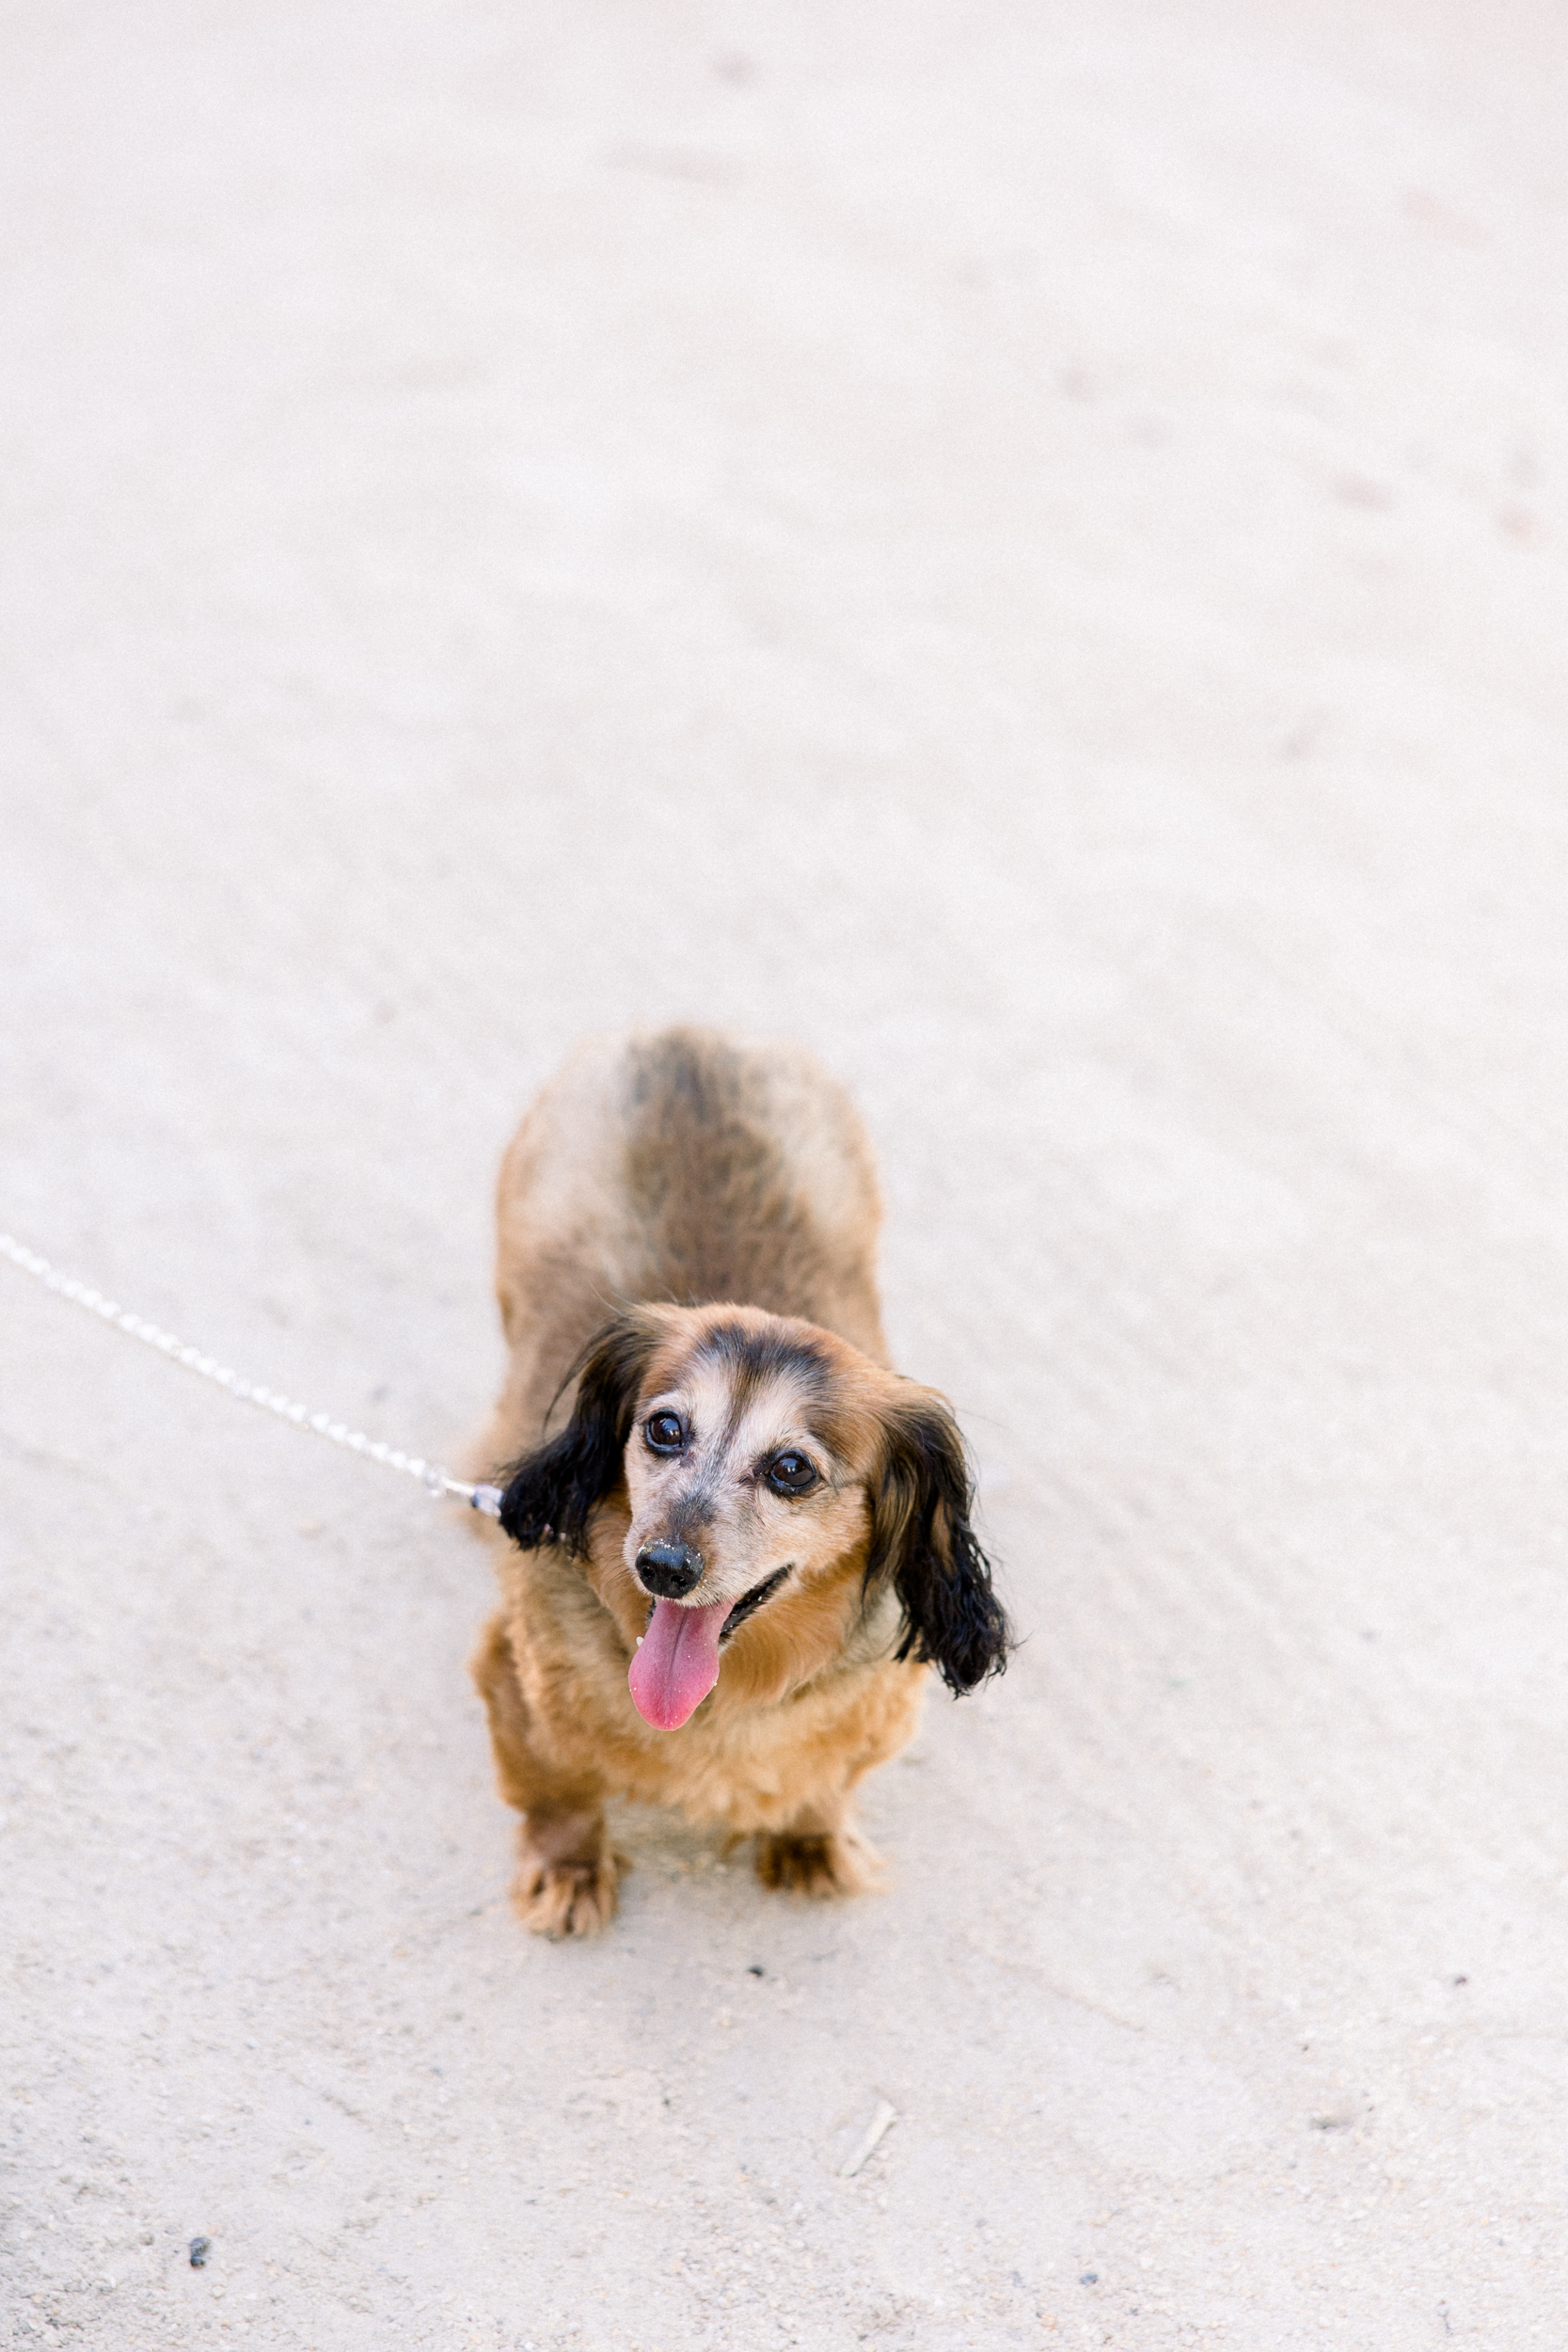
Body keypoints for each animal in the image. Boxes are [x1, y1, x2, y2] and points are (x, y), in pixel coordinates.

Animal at [465, 1025, 1010, 1929]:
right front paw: (569, 1869)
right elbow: (560, 1793)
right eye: (663, 1429)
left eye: (791, 1469)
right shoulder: (514, 1683)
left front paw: (810, 1842)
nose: (662, 1568)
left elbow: (826, 1787)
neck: (725, 1695)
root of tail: (687, 1032)